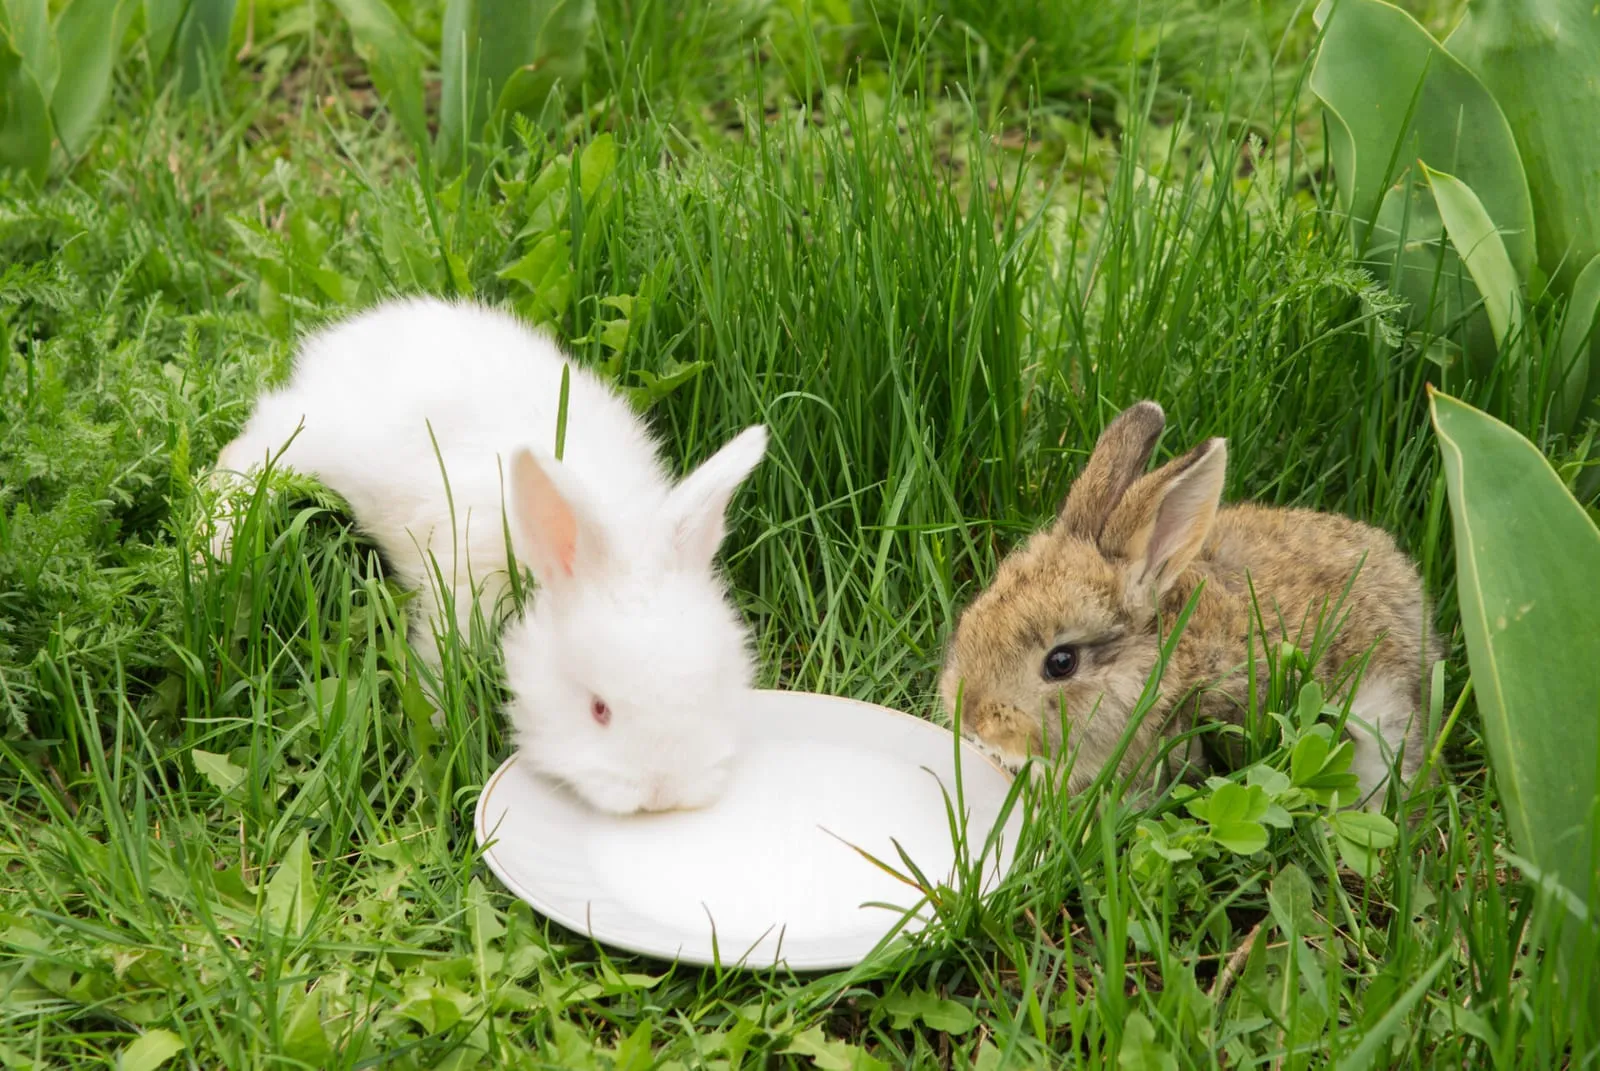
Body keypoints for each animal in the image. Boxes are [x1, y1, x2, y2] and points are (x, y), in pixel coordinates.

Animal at [203, 296, 769, 816]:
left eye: (712, 689)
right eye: (599, 709)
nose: (662, 794)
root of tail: (350, 336)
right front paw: (434, 730)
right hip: (309, 438)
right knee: (249, 450)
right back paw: (215, 542)